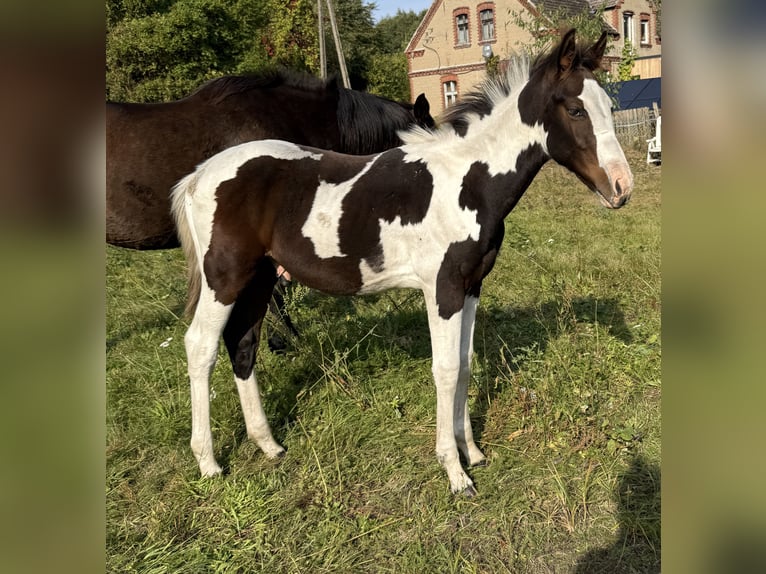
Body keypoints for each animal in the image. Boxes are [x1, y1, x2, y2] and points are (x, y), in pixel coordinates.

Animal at [170, 30, 633, 496]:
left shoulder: (471, 286)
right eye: (575, 109)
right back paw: (208, 462)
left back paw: (268, 444)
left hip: (259, 278)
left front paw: (473, 452)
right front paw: (455, 471)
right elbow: (445, 369)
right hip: (224, 278)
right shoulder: (442, 289)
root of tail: (198, 175)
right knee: (201, 346)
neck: (468, 182)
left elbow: (465, 363)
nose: (622, 188)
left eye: (609, 106)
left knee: (242, 345)